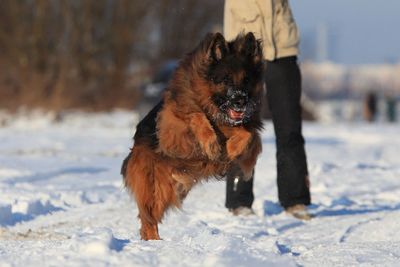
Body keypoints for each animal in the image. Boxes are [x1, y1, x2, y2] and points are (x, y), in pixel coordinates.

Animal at [122, 31, 266, 241]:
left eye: (246, 80)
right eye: (226, 80)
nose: (240, 101)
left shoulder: (249, 131)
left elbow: (248, 134)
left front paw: (232, 149)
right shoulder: (172, 128)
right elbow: (196, 115)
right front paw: (211, 144)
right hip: (156, 186)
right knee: (148, 220)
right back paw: (153, 243)